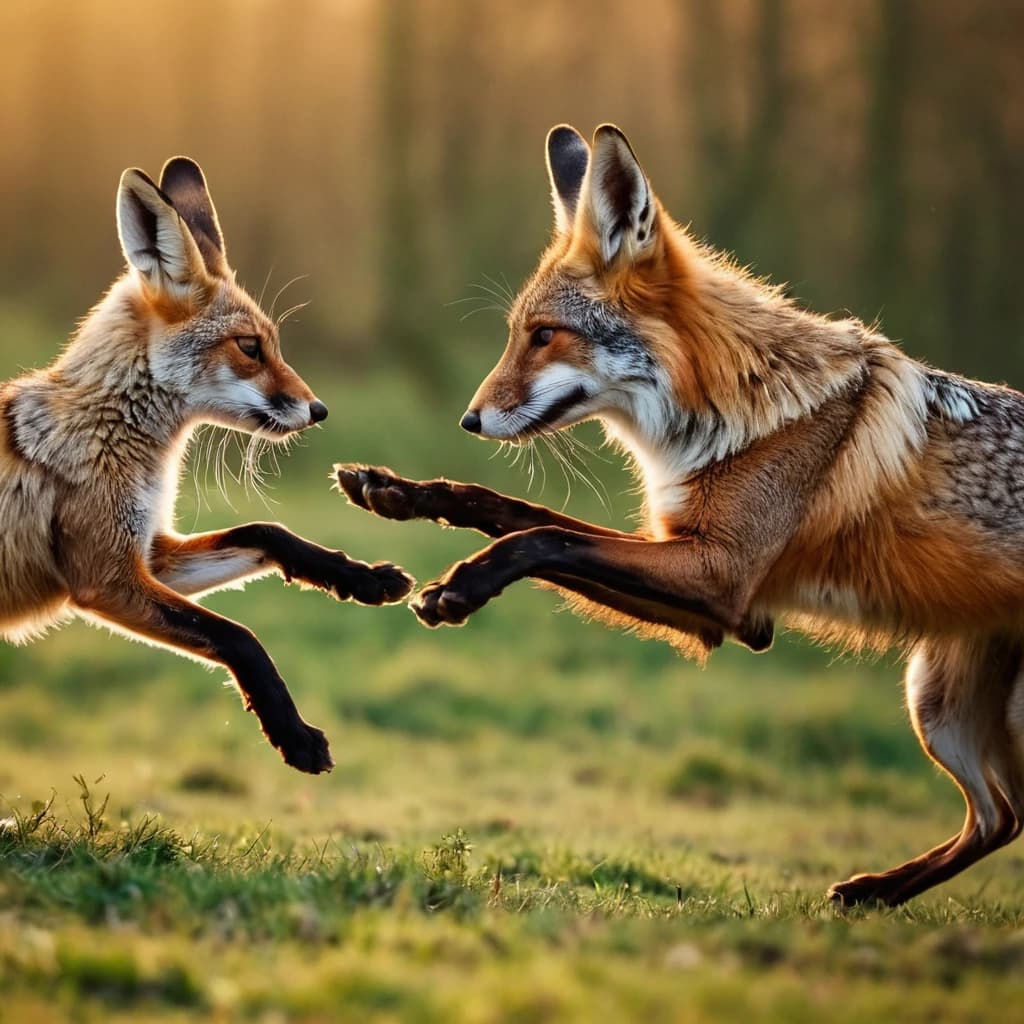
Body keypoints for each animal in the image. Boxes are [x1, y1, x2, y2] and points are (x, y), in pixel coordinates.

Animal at [0, 157, 414, 774]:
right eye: (250, 347)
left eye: (271, 345)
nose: (318, 409)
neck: (108, 431)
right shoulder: (105, 579)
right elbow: (238, 636)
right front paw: (293, 735)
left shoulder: (152, 552)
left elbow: (267, 532)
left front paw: (361, 578)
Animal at [338, 122, 1024, 905]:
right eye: (521, 333)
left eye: (544, 335)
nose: (470, 420)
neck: (733, 416)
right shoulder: (728, 608)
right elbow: (513, 510)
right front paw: (398, 493)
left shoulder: (720, 575)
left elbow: (541, 537)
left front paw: (463, 586)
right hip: (936, 706)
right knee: (999, 818)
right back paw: (876, 891)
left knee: (1003, 816)